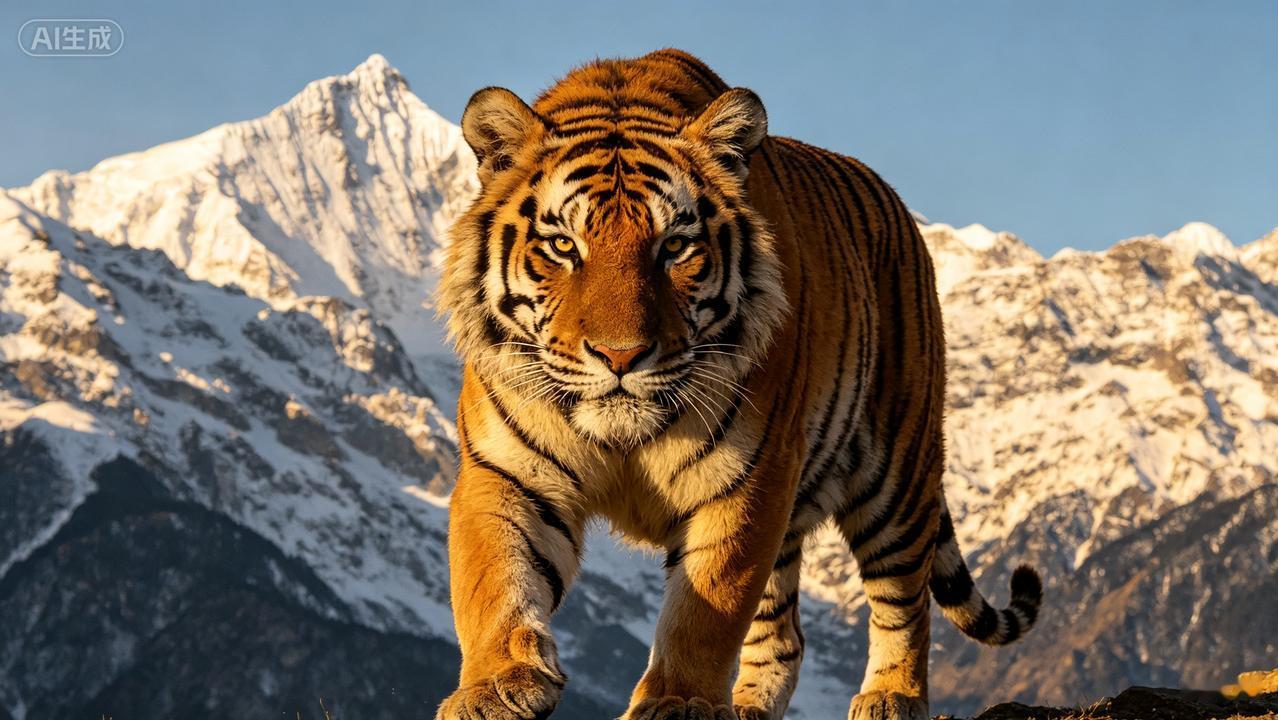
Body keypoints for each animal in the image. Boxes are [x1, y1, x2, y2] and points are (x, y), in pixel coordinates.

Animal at [435, 49, 1042, 720]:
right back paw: (749, 705)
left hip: (896, 476)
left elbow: (707, 608)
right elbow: (496, 581)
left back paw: (892, 696)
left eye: (675, 247)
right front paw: (496, 686)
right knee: (785, 632)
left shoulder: (748, 478)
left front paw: (677, 702)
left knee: (903, 600)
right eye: (564, 245)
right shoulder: (506, 472)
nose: (621, 356)